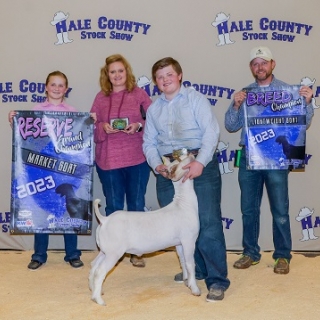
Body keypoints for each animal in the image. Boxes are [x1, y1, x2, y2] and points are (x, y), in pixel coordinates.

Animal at [89, 154, 200, 306]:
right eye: (177, 165)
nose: (190, 155)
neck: (183, 204)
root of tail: (105, 220)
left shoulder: (179, 243)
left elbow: (182, 260)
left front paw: (186, 281)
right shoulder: (189, 240)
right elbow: (190, 264)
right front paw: (194, 289)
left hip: (104, 250)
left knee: (94, 266)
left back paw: (95, 291)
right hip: (113, 253)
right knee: (100, 271)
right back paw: (99, 300)